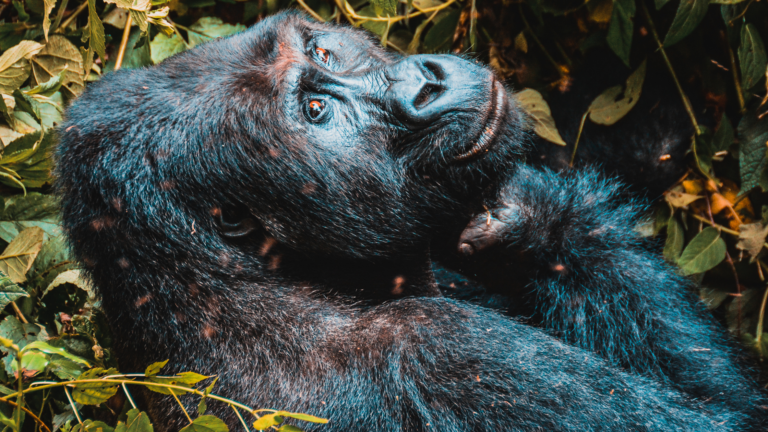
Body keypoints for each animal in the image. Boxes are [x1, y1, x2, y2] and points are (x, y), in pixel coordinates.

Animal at [55, 10, 768, 432]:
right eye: (316, 112)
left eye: (325, 52)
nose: (425, 82)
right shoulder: (438, 350)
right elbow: (738, 416)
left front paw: (519, 223)